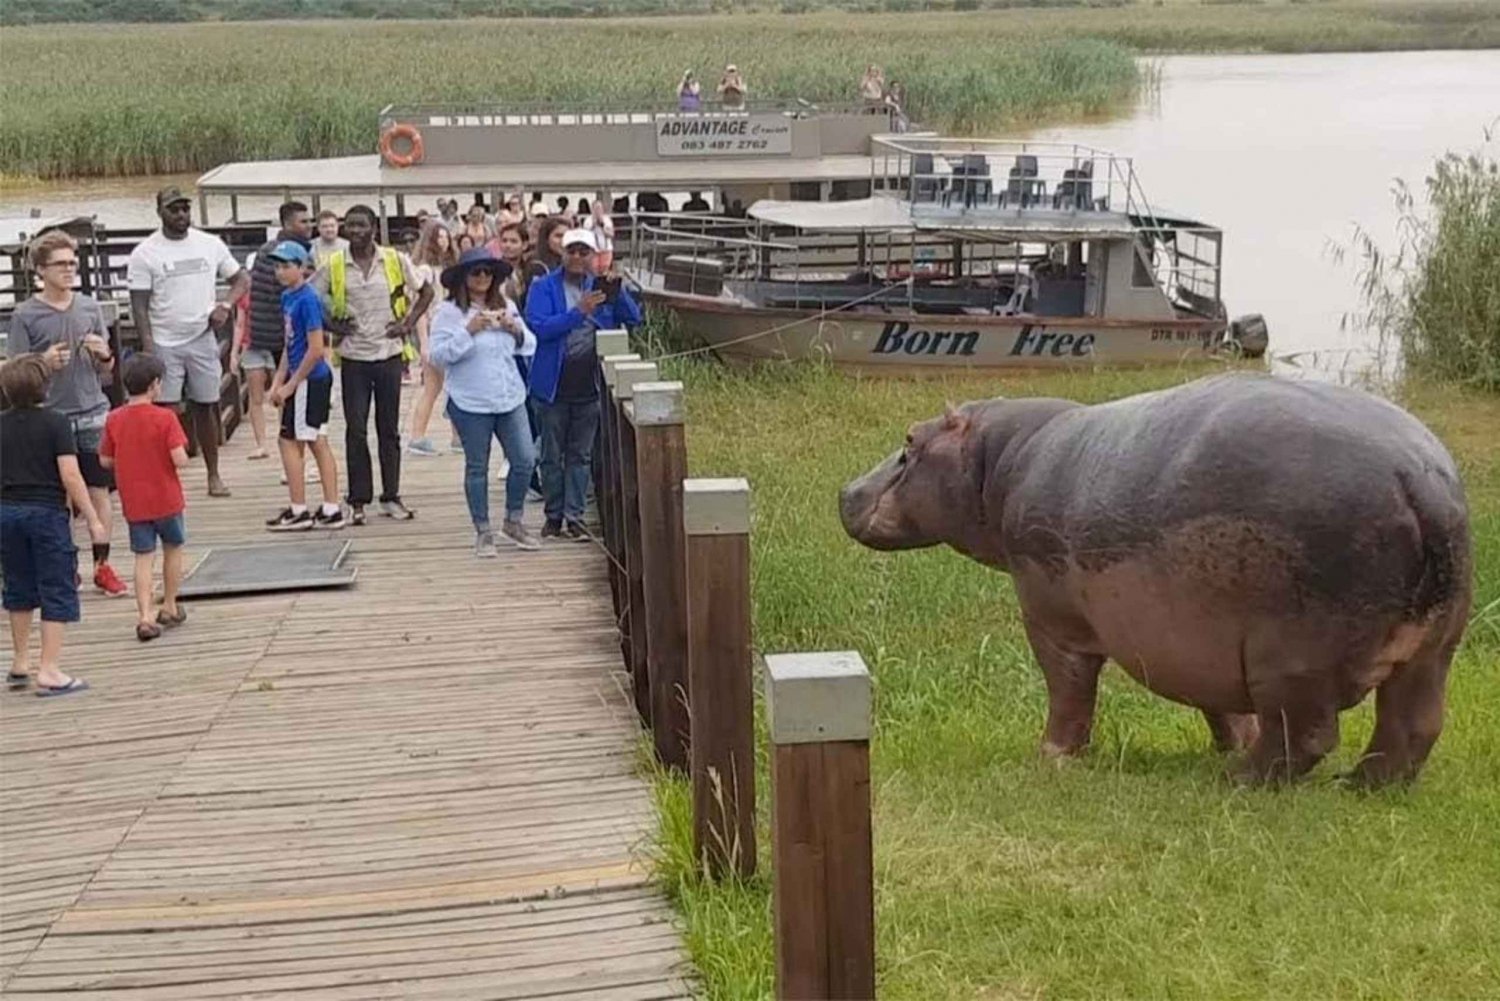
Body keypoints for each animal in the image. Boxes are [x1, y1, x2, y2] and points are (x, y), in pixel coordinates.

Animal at [840, 372, 1470, 786]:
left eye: (909, 442)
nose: (845, 490)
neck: (1000, 461)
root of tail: (1418, 480)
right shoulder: (1198, 641)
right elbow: (1219, 705)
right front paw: (1226, 746)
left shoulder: (1052, 619)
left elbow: (1068, 690)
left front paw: (1050, 757)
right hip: (1433, 650)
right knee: (1412, 727)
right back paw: (1360, 787)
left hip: (1290, 656)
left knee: (1308, 734)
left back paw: (1239, 782)